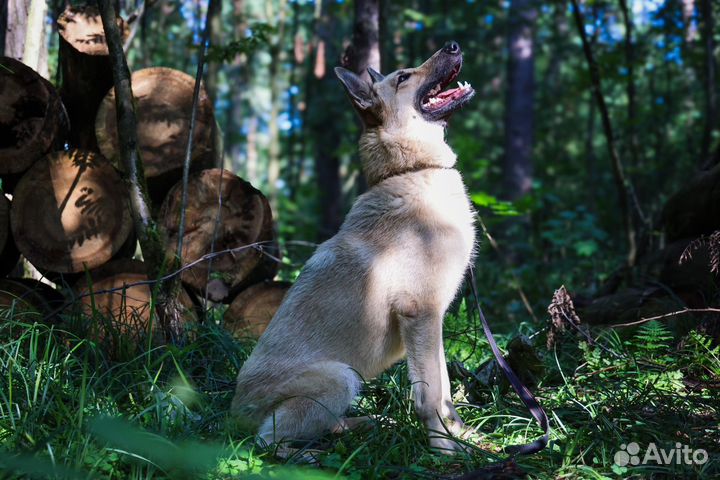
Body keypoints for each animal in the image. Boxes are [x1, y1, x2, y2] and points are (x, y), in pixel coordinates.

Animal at [233, 42, 476, 454]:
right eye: (404, 77)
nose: (454, 45)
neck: (411, 169)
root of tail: (234, 412)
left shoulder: (433, 322)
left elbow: (444, 391)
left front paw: (462, 436)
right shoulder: (420, 314)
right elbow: (429, 396)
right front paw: (444, 451)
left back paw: (360, 425)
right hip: (340, 377)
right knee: (266, 442)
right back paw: (310, 453)